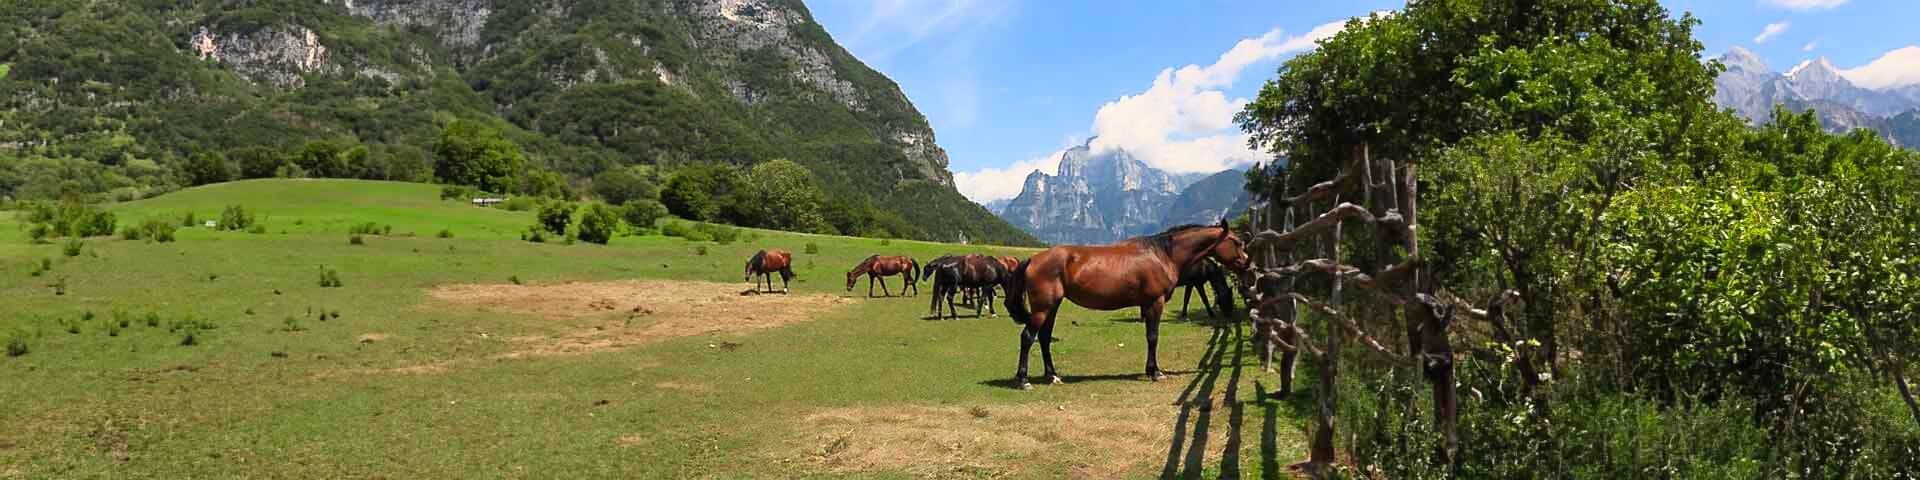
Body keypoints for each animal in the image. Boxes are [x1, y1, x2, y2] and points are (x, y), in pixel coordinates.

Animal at [1006, 220, 1259, 389]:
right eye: (1237, 242)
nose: (1249, 266)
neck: (1163, 254)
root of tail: (1034, 259)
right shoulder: (1155, 303)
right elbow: (1153, 337)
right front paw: (1156, 372)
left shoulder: (1146, 305)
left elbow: (1149, 336)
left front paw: (1150, 369)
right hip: (1043, 308)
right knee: (1027, 337)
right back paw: (1023, 380)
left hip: (1053, 307)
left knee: (1044, 338)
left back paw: (1052, 376)